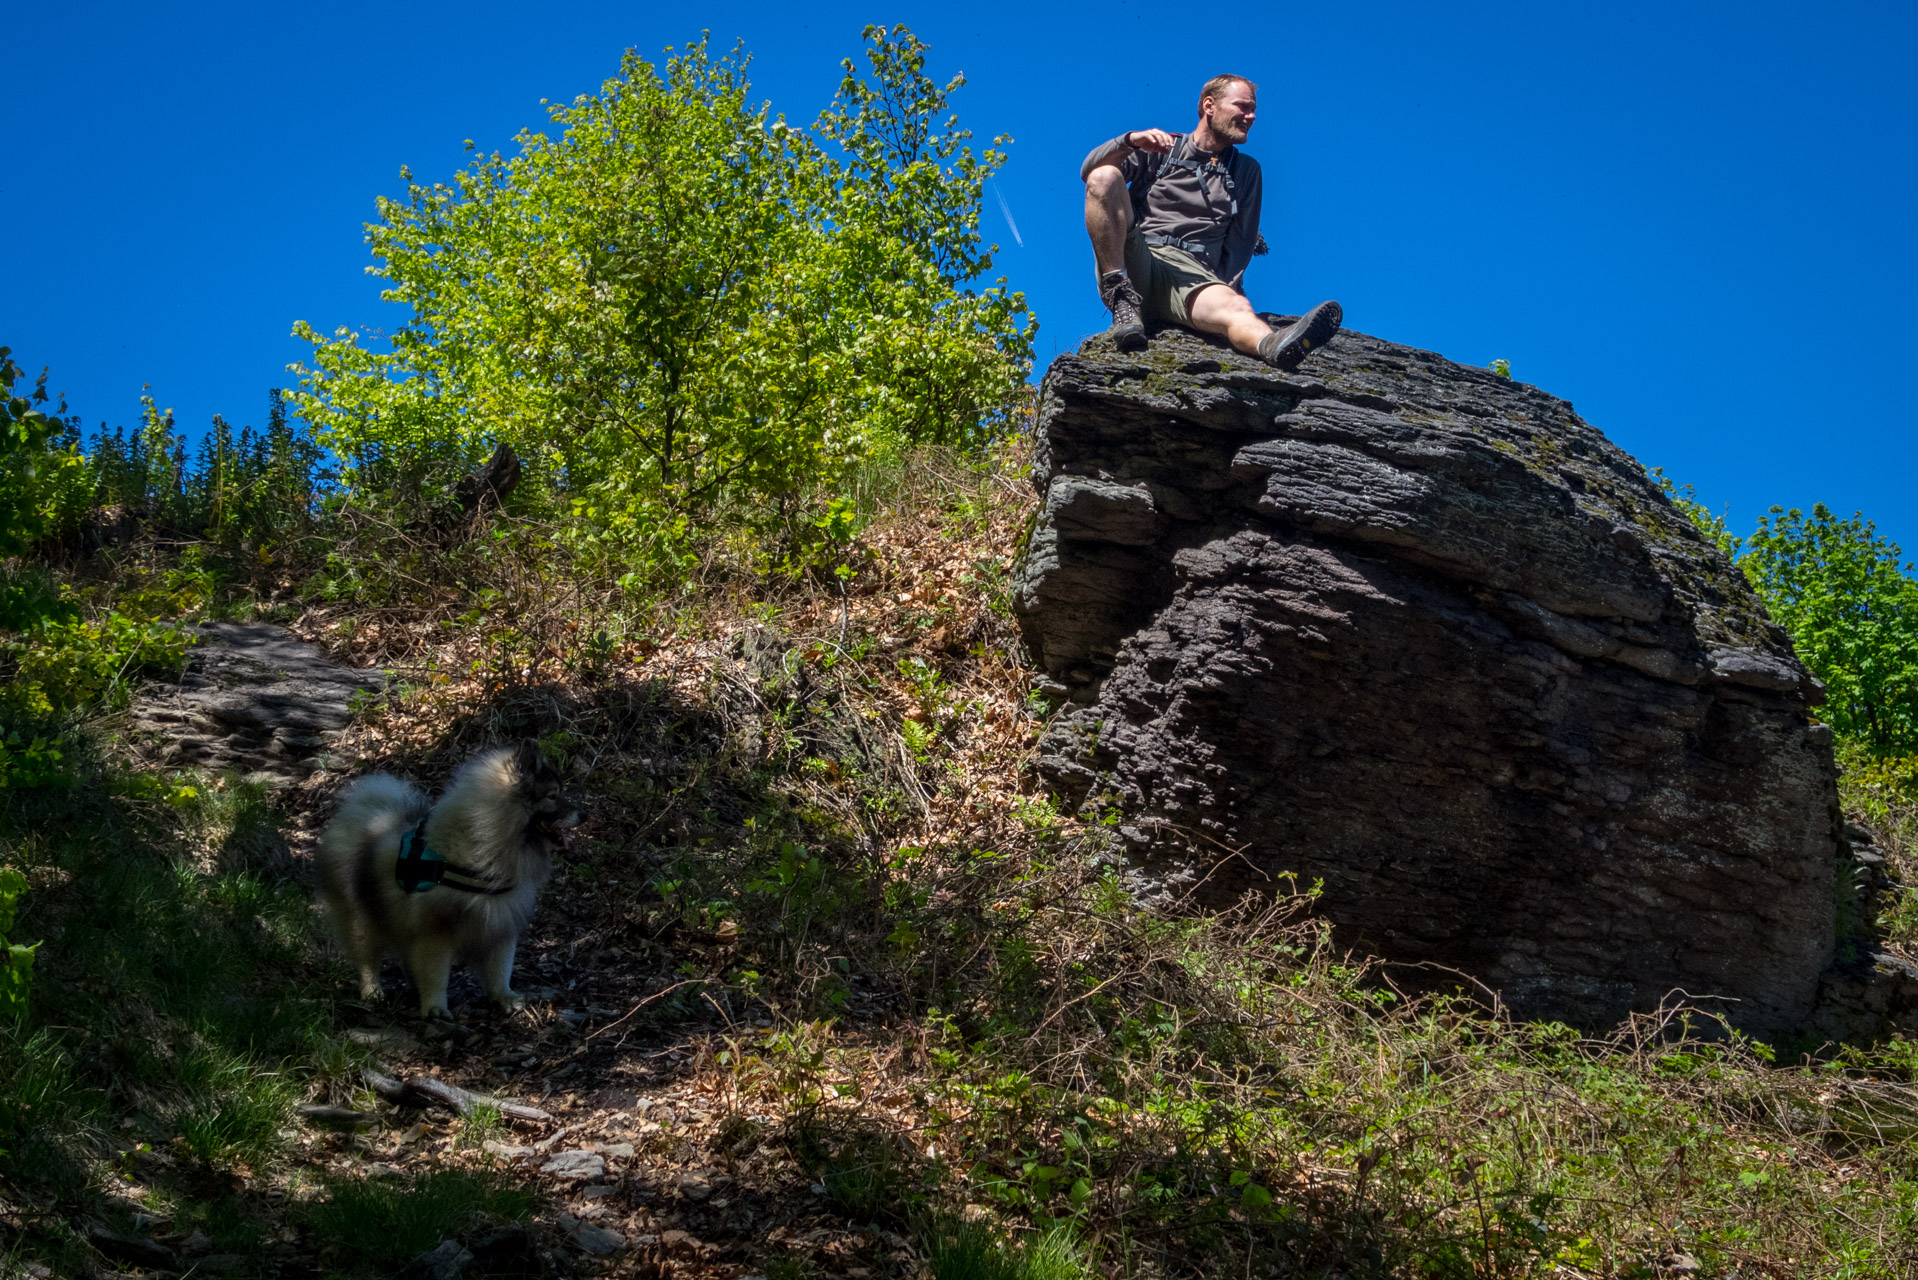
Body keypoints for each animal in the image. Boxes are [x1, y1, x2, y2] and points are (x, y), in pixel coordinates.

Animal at [318, 740, 575, 1020]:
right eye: (552, 796)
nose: (582, 813)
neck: (482, 846)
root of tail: (365, 809)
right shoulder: (435, 931)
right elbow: (436, 975)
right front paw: (436, 1008)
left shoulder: (500, 927)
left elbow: (499, 969)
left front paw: (504, 997)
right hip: (362, 919)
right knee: (367, 960)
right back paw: (373, 992)